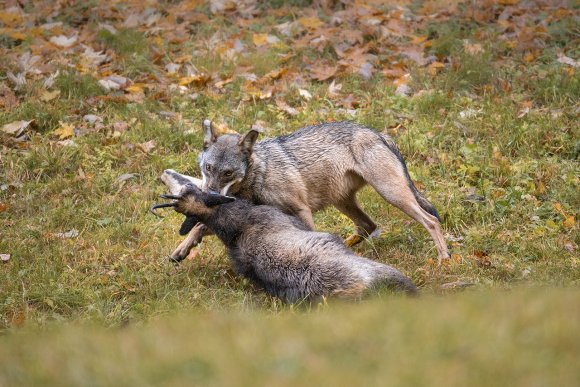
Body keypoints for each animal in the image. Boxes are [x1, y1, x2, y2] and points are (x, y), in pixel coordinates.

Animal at [163, 119, 448, 262]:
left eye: (228, 173)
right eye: (208, 168)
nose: (208, 195)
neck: (259, 176)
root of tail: (379, 133)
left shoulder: (301, 211)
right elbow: (200, 227)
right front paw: (182, 249)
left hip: (391, 194)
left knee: (431, 221)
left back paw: (444, 257)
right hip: (344, 202)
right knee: (367, 225)